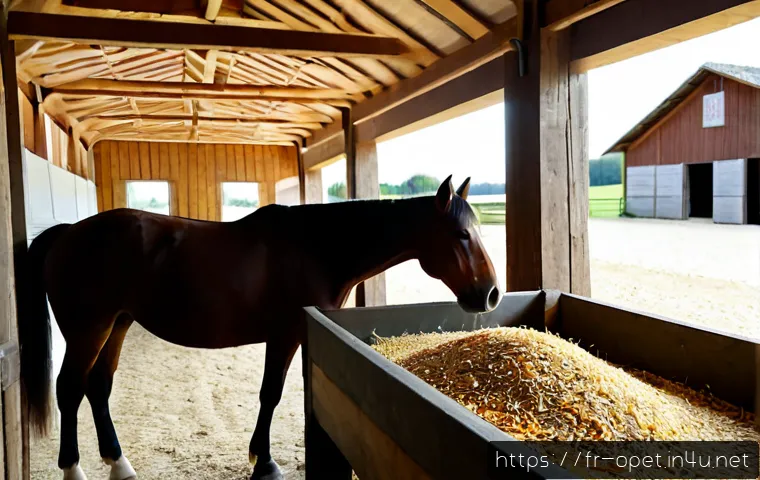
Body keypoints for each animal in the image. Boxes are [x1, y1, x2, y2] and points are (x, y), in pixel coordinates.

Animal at [19, 175, 501, 480]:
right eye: (461, 234)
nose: (491, 294)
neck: (318, 249)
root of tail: (68, 234)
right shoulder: (286, 334)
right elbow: (271, 394)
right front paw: (265, 463)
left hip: (117, 324)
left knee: (98, 387)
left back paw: (119, 465)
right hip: (89, 329)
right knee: (69, 388)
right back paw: (74, 470)